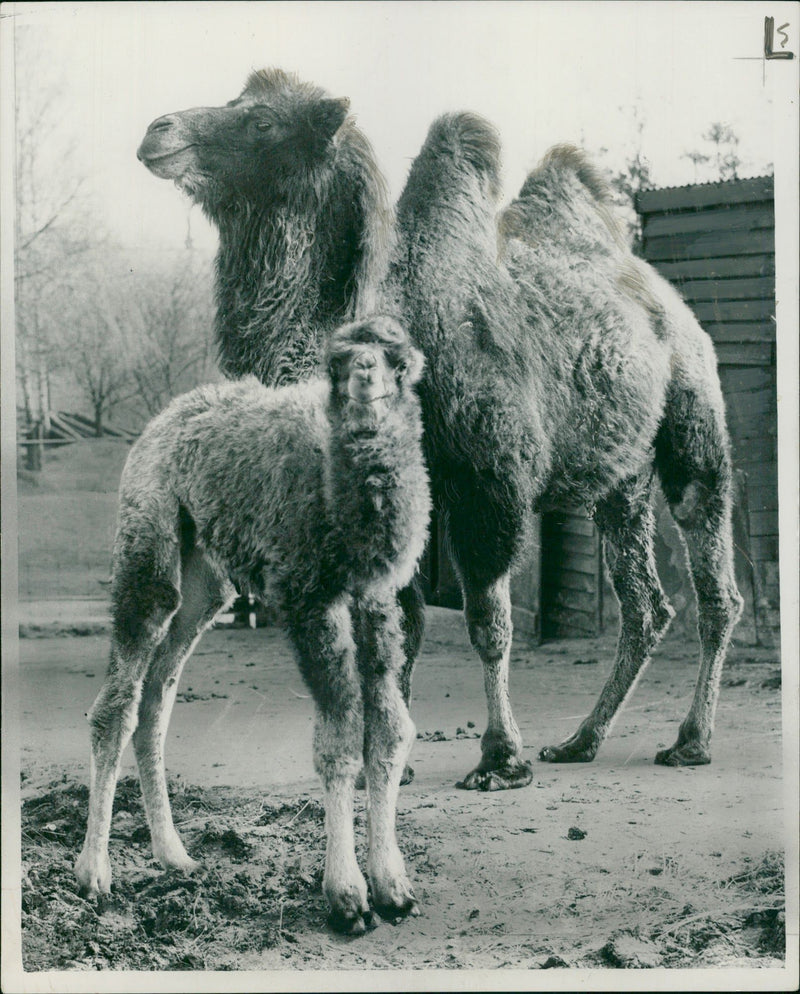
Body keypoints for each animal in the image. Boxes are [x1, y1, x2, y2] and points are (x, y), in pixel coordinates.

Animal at [75, 316, 432, 928]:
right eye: (337, 362)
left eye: (397, 360)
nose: (364, 374)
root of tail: (160, 422)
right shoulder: (310, 598)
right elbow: (339, 740)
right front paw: (346, 896)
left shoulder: (378, 600)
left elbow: (390, 733)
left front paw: (393, 886)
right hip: (148, 535)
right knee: (118, 700)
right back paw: (94, 876)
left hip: (206, 580)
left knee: (157, 698)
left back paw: (174, 855)